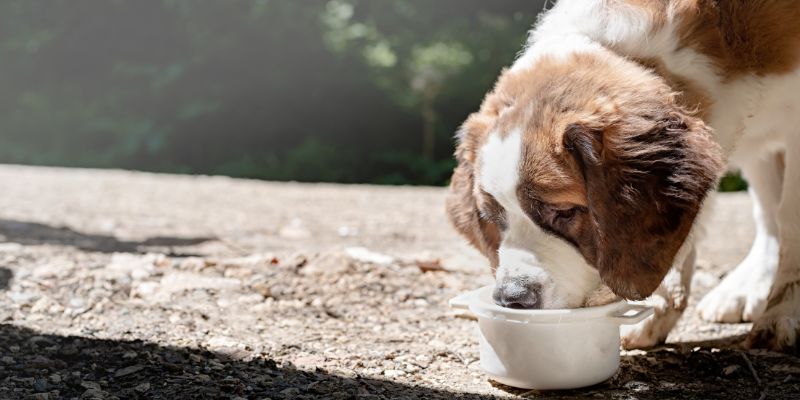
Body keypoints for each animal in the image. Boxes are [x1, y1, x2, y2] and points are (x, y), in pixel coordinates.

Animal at [446, 0, 800, 352]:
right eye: (493, 218)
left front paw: (783, 311)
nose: (512, 297)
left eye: (565, 212)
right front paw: (657, 306)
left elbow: (791, 218)